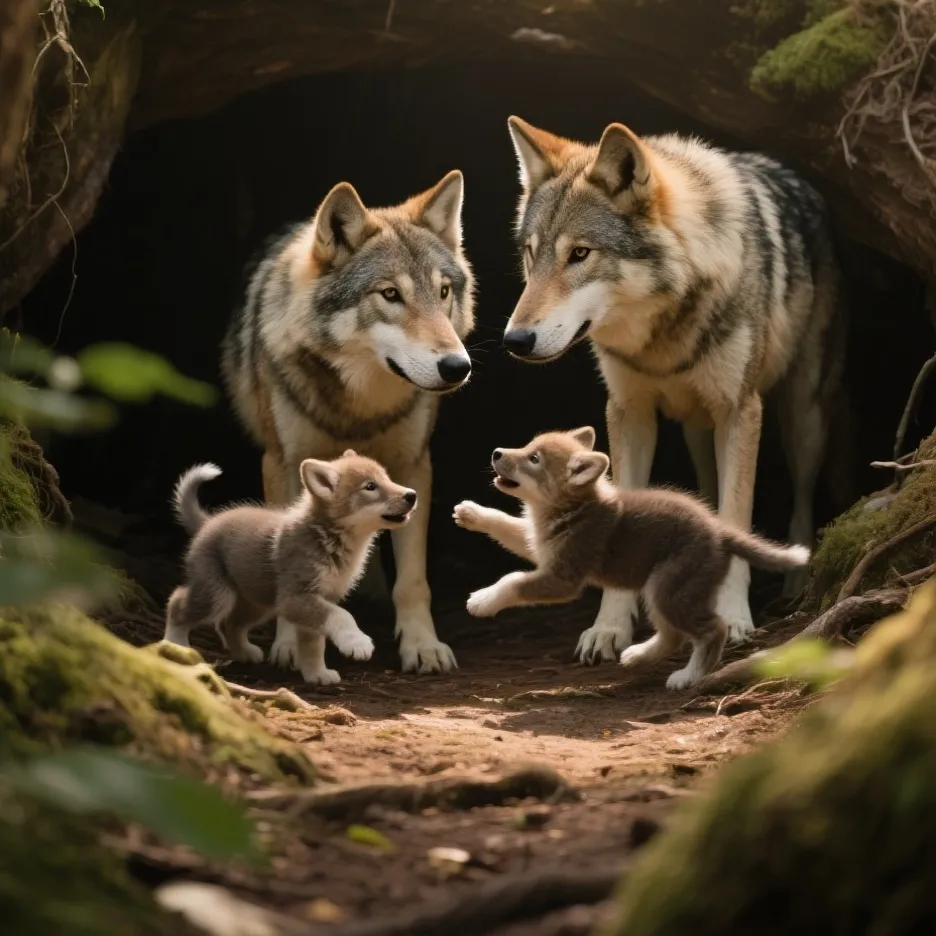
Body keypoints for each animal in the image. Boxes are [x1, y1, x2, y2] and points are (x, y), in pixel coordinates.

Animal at [164, 453, 417, 684]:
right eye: (370, 486)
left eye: (387, 478)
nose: (412, 495)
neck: (326, 535)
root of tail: (207, 522)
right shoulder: (296, 598)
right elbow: (343, 616)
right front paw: (357, 643)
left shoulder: (315, 602)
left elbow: (314, 644)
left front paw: (317, 674)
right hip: (216, 594)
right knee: (177, 602)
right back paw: (175, 647)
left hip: (257, 603)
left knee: (230, 624)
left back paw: (245, 653)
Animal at [221, 171, 475, 675]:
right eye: (391, 294)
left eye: (442, 292)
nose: (458, 367)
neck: (361, 407)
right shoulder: (281, 463)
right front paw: (288, 644)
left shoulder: (414, 465)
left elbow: (412, 579)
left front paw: (422, 646)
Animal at [453, 427, 808, 689]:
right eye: (528, 445)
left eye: (534, 458)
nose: (497, 453)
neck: (573, 508)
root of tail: (721, 533)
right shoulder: (539, 546)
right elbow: (505, 524)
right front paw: (471, 513)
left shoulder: (563, 578)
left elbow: (512, 580)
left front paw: (482, 601)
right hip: (661, 592)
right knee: (674, 635)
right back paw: (638, 655)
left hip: (668, 588)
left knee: (712, 630)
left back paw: (687, 677)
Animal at [501, 116, 845, 664]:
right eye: (531, 256)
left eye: (580, 254)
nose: (515, 340)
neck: (661, 336)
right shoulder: (628, 413)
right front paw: (609, 627)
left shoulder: (739, 412)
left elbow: (738, 514)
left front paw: (734, 615)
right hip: (696, 429)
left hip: (803, 418)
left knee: (804, 492)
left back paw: (795, 577)